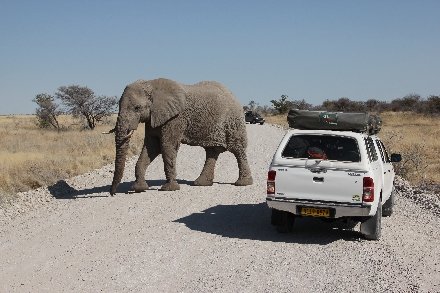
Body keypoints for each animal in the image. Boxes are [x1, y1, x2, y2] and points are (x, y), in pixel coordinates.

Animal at [104, 78, 253, 195]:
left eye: (137, 108)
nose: (112, 193)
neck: (151, 85)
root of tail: (233, 95)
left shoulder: (175, 119)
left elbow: (166, 146)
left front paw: (169, 189)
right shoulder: (154, 118)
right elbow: (151, 148)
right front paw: (138, 188)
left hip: (233, 121)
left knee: (237, 149)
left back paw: (243, 183)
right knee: (212, 151)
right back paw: (201, 183)